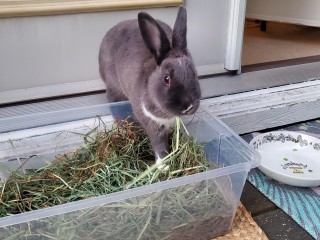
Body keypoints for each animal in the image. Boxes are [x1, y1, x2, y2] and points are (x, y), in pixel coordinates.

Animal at [99, 6, 201, 167]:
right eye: (166, 79)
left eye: (194, 74)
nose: (188, 106)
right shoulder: (152, 124)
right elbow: (159, 145)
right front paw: (163, 166)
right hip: (113, 86)